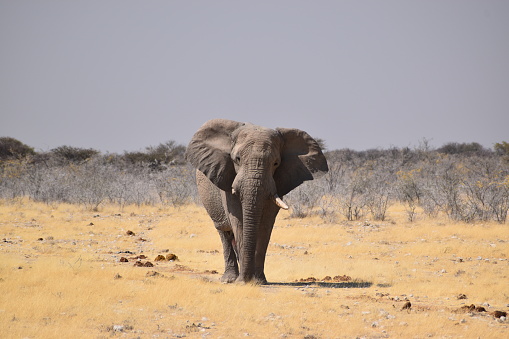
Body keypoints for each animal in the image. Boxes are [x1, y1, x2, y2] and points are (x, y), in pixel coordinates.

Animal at [185, 119, 328, 284]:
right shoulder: (226, 176)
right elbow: (238, 221)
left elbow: (265, 224)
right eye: (237, 159)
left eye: (276, 163)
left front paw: (258, 281)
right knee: (224, 232)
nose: (246, 279)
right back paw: (230, 279)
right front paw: (243, 282)